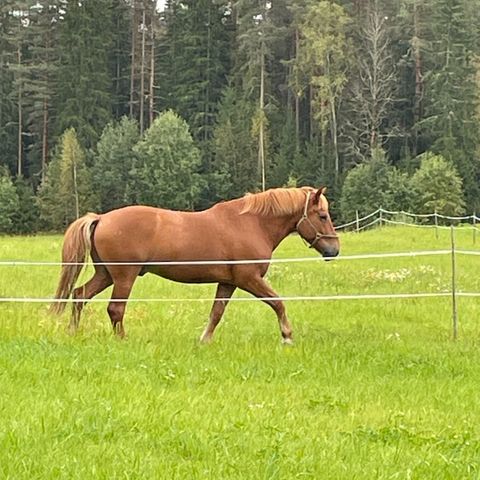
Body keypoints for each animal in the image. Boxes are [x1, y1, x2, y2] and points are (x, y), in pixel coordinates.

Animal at [50, 187, 340, 342]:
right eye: (323, 216)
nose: (334, 250)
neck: (251, 224)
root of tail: (101, 218)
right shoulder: (249, 279)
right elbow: (278, 302)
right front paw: (287, 336)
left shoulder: (228, 282)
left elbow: (216, 313)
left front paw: (204, 340)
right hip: (124, 277)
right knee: (115, 309)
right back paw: (123, 340)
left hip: (106, 275)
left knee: (79, 296)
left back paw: (72, 333)